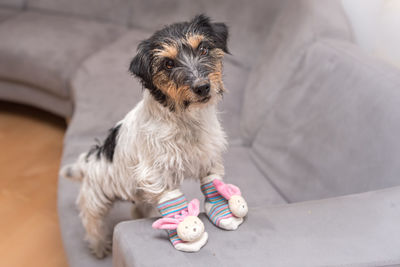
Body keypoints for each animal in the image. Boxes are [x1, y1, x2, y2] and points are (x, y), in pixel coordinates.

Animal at [59, 15, 228, 260]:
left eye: (204, 48)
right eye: (168, 64)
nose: (203, 87)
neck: (186, 119)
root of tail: (89, 160)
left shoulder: (209, 160)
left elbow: (214, 184)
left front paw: (223, 210)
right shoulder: (157, 176)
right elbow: (175, 204)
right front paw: (185, 229)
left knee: (137, 208)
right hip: (96, 197)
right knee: (91, 221)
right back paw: (99, 246)